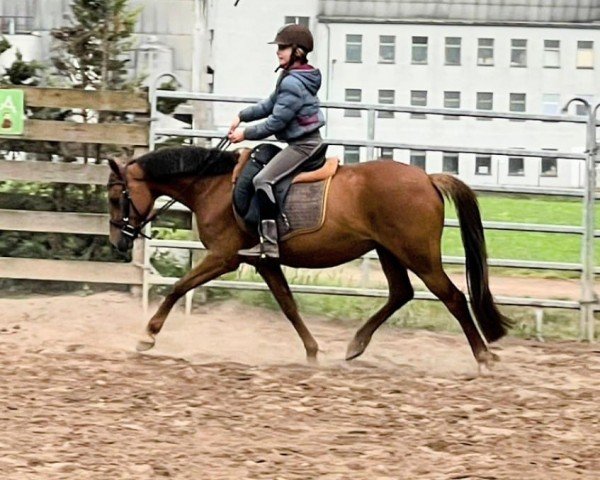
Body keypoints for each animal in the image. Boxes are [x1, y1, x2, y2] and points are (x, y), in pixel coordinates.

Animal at [106, 145, 510, 368]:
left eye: (114, 197)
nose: (117, 242)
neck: (214, 186)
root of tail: (427, 179)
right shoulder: (265, 261)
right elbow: (288, 306)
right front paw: (313, 352)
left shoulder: (223, 257)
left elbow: (177, 288)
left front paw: (147, 337)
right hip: (389, 251)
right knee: (401, 293)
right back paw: (355, 345)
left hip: (417, 255)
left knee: (452, 297)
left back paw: (484, 357)